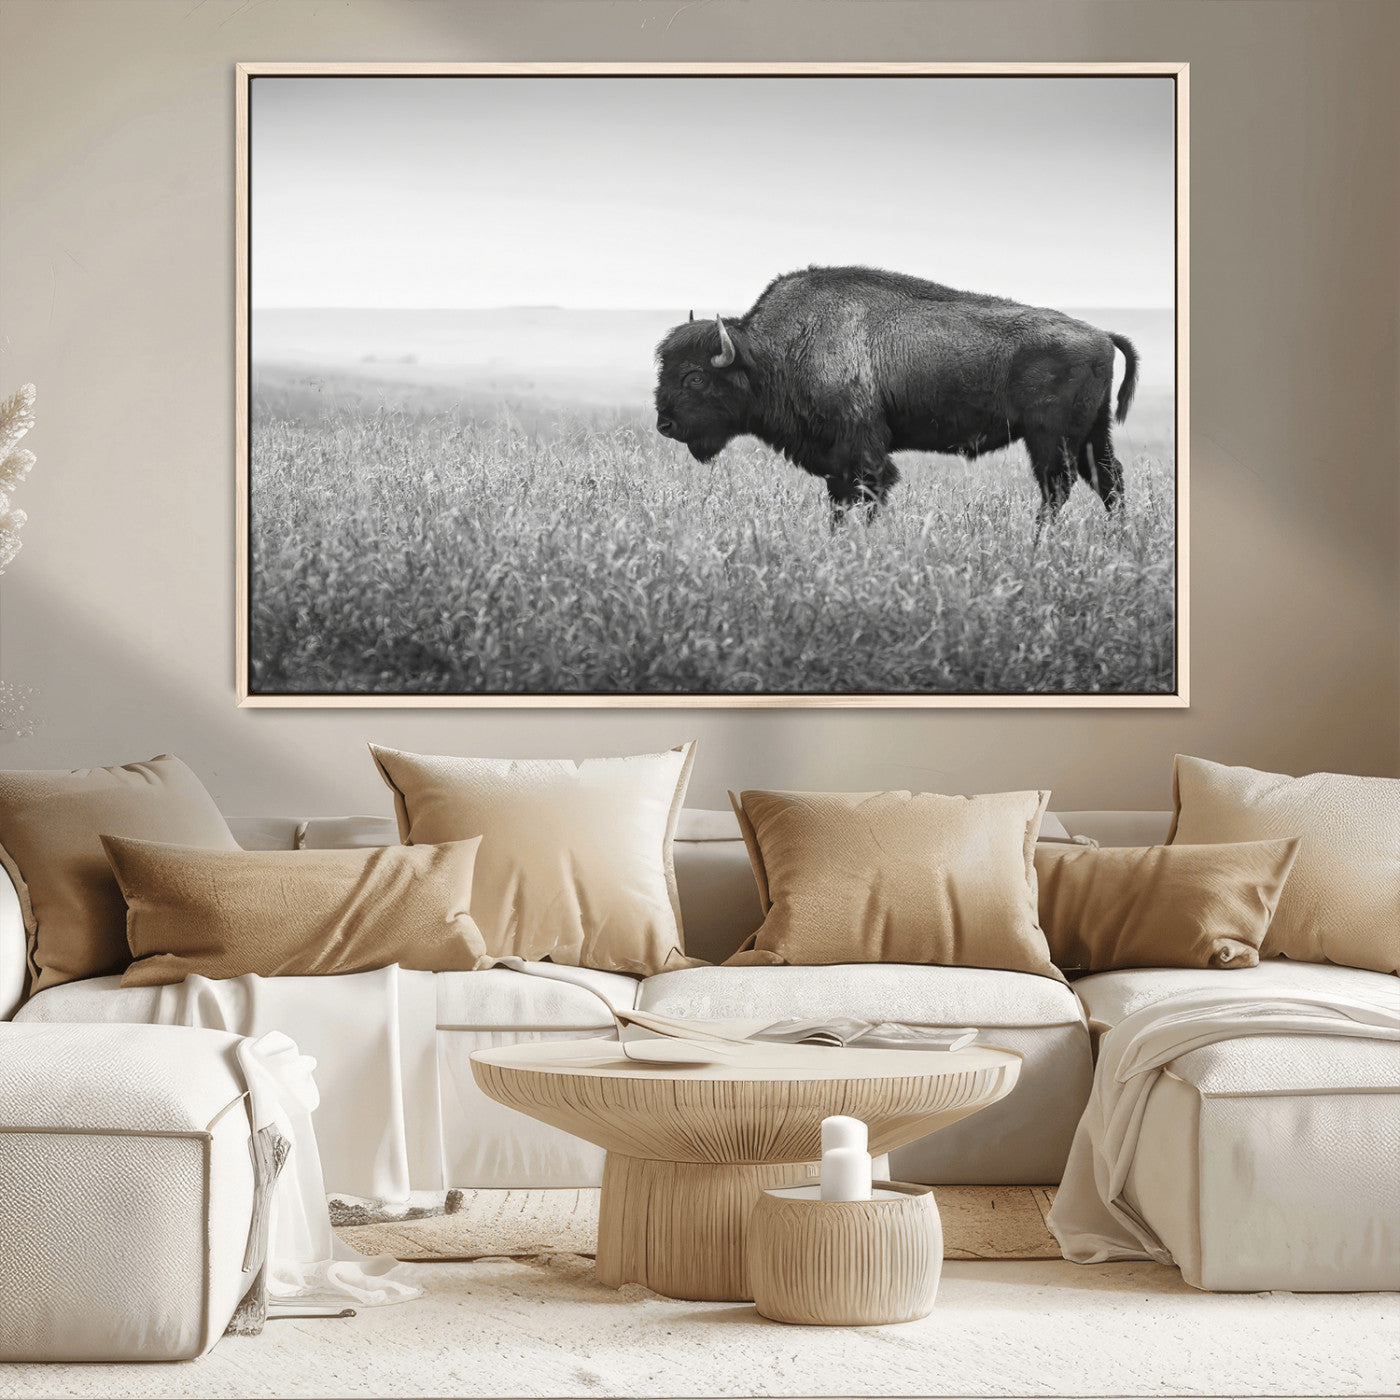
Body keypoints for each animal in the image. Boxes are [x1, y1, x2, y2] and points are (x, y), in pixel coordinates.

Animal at [654, 266, 1139, 526]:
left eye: (695, 377)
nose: (665, 424)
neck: (773, 352)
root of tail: (1101, 334)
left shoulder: (862, 451)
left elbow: (868, 493)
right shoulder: (836, 460)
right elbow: (840, 500)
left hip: (1050, 439)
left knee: (1058, 488)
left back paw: (1038, 542)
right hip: (1092, 434)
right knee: (1108, 480)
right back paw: (1116, 539)